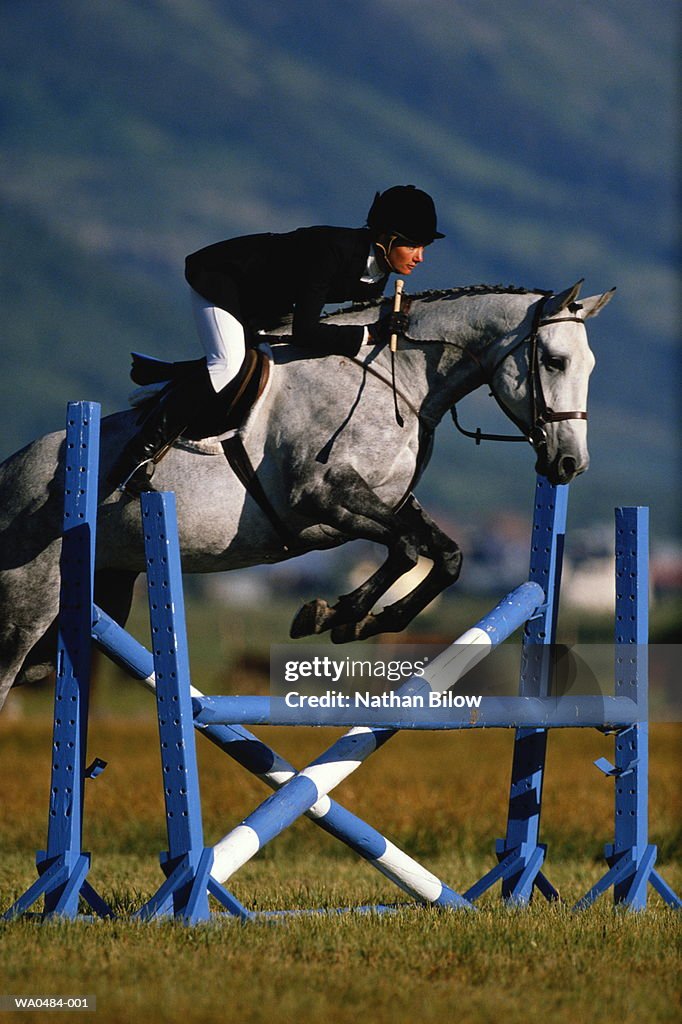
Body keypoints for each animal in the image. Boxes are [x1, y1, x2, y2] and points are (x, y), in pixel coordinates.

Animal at [0, 280, 610, 712]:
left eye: (590, 367)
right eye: (554, 361)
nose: (570, 464)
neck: (397, 378)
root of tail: (10, 471)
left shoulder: (381, 506)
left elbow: (444, 555)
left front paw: (354, 620)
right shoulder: (320, 500)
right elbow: (408, 550)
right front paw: (328, 615)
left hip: (96, 598)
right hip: (26, 608)